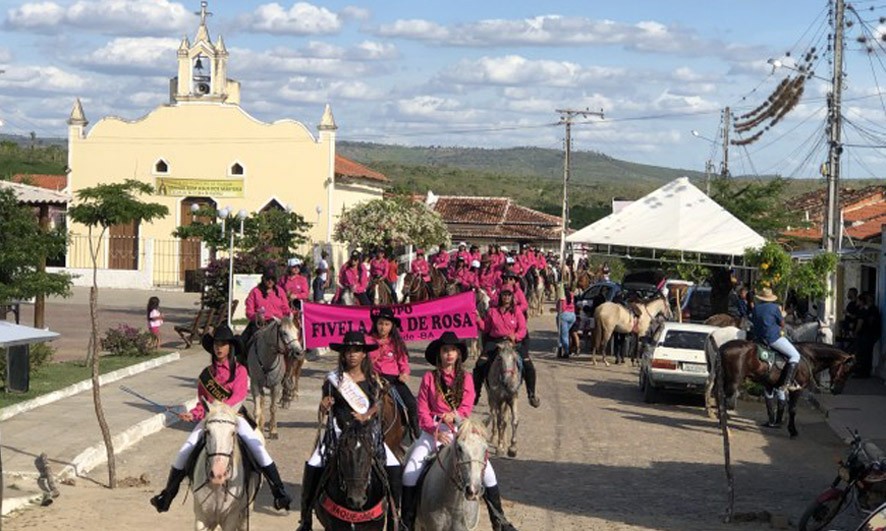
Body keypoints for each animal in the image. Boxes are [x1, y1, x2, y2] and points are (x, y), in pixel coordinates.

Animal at [704, 338, 856, 438]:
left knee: (717, 396)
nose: (837, 391)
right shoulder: (797, 389)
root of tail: (722, 347)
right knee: (722, 399)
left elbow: (776, 404)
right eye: (846, 371)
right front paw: (792, 430)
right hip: (733, 381)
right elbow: (792, 409)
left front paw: (774, 422)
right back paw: (725, 427)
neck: (808, 356)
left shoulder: (772, 386)